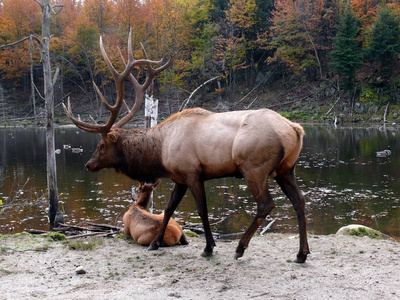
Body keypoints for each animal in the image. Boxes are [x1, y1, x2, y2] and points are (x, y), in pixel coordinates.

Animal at [65, 29, 310, 262]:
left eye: (101, 145)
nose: (89, 164)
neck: (160, 153)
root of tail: (295, 129)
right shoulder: (179, 178)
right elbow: (168, 208)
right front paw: (155, 243)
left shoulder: (192, 173)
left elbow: (202, 211)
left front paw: (208, 247)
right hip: (286, 168)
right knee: (300, 200)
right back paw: (301, 254)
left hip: (254, 167)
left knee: (266, 204)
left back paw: (240, 248)